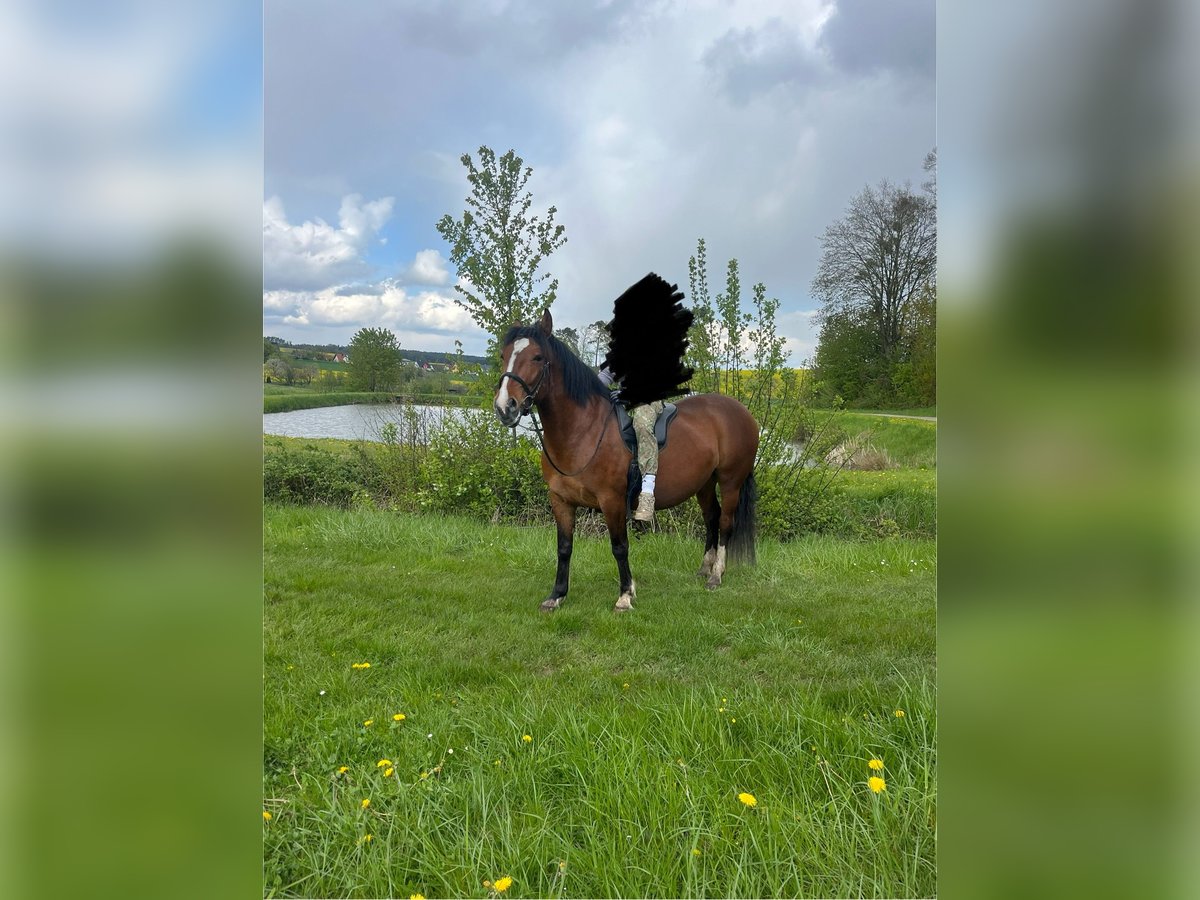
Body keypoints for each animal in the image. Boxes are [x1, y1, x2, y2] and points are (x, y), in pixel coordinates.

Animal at [494, 309, 758, 614]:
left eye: (537, 357)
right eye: (504, 355)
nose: (505, 407)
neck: (583, 431)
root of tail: (741, 412)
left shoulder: (612, 501)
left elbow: (619, 546)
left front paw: (624, 595)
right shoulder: (560, 500)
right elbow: (564, 547)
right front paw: (557, 595)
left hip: (730, 482)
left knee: (725, 522)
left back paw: (716, 575)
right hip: (704, 483)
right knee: (711, 518)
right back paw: (705, 568)